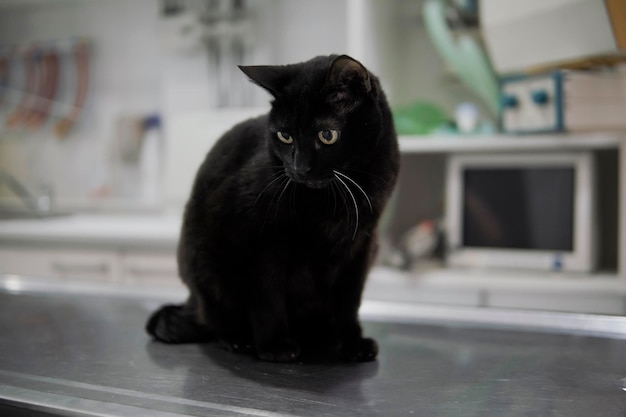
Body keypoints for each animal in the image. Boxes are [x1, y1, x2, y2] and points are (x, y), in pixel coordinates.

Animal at [146, 54, 398, 360]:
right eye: (284, 136)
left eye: (327, 135)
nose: (300, 167)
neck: (332, 199)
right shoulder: (257, 242)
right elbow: (267, 298)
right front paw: (275, 345)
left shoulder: (361, 244)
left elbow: (349, 300)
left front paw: (352, 342)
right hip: (205, 266)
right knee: (217, 314)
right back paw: (240, 339)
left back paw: (322, 337)